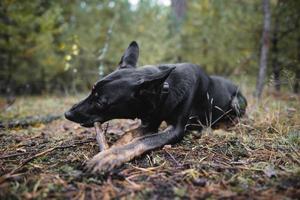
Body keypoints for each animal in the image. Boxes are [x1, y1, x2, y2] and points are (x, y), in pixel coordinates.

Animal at [63, 41, 246, 173]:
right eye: (91, 90)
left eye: (101, 102)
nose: (67, 114)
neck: (165, 89)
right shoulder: (149, 123)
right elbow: (128, 135)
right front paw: (107, 151)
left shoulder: (176, 130)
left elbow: (141, 141)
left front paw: (109, 157)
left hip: (236, 102)